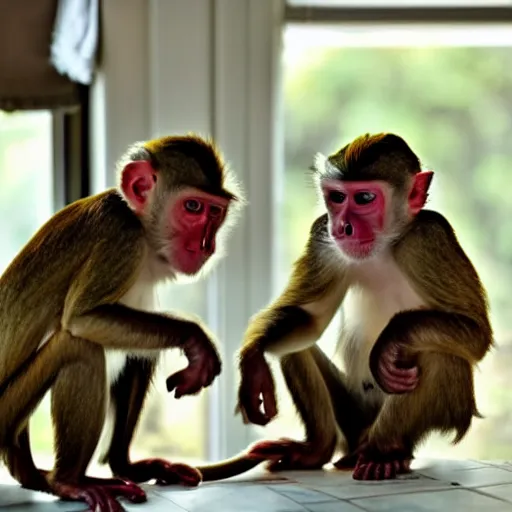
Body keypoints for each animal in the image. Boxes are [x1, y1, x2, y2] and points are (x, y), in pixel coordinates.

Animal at [0, 134, 244, 510]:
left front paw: (125, 465)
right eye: (192, 207)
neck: (139, 222)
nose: (207, 245)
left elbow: (131, 343)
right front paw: (197, 340)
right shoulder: (122, 238)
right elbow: (83, 320)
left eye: (215, 211)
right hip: (5, 412)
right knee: (79, 347)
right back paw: (69, 481)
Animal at [191, 132, 492, 484]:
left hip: (449, 409)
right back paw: (317, 450)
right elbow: (310, 318)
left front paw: (391, 340)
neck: (385, 246)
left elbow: (476, 334)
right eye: (336, 197)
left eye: (364, 198)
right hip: (354, 413)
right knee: (295, 344)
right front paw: (253, 359)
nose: (343, 227)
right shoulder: (322, 236)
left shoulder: (430, 237)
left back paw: (385, 452)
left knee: (438, 354)